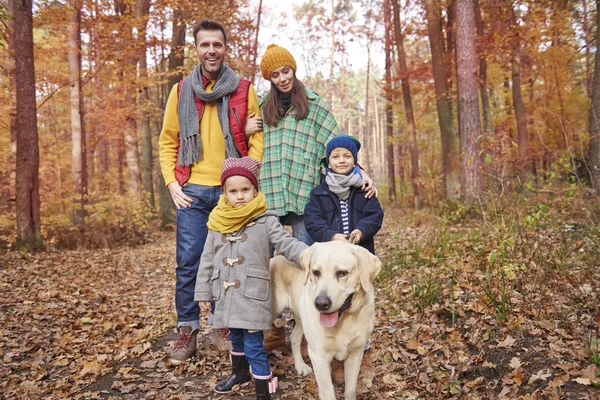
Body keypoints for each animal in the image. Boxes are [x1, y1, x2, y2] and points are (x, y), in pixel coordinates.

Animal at [270, 239, 382, 398]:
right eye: (316, 272)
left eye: (342, 273)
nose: (321, 304)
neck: (345, 318)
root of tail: (277, 257)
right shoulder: (319, 356)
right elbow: (328, 392)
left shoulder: (355, 353)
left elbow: (350, 389)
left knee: (294, 338)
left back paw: (300, 366)